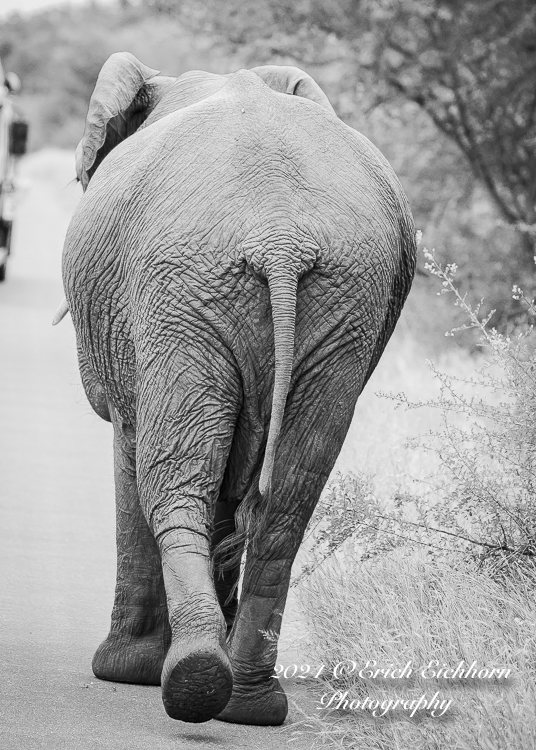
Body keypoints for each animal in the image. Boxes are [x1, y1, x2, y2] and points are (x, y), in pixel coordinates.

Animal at [55, 53, 414, 728]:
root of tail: (281, 238)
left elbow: (132, 454)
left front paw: (123, 670)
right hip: (340, 306)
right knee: (286, 505)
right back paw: (246, 703)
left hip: (181, 292)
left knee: (172, 482)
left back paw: (186, 681)